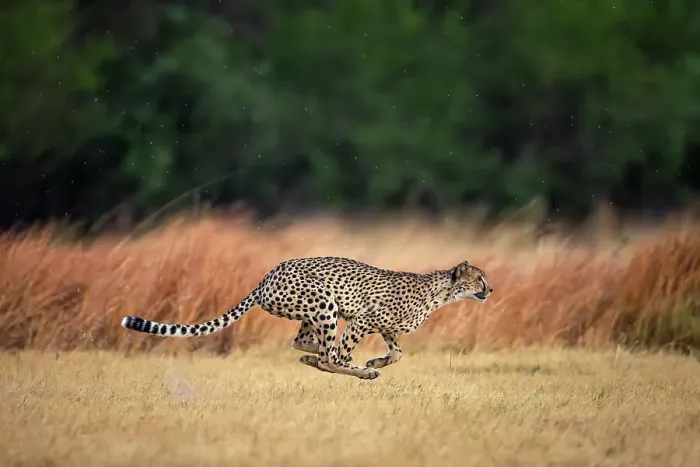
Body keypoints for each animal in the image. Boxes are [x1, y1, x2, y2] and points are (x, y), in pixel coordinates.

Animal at [121, 256, 493, 380]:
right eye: (479, 278)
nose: (491, 290)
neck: (441, 293)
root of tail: (267, 276)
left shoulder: (386, 328)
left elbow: (398, 352)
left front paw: (378, 359)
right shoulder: (362, 320)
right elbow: (342, 355)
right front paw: (367, 366)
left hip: (311, 310)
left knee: (301, 341)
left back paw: (312, 355)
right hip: (325, 303)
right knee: (328, 355)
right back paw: (356, 371)